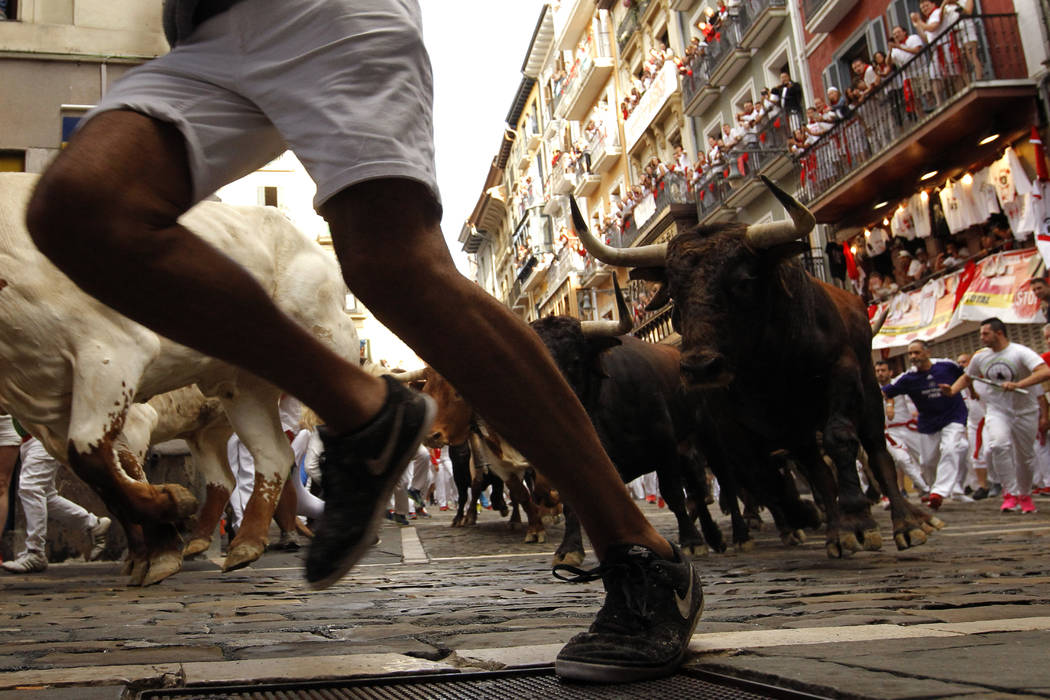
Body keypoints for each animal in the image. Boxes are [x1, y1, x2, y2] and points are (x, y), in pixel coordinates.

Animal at [0, 174, 361, 587]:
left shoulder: (111, 354)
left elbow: (99, 461)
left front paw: (166, 526)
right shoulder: (56, 411)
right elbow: (111, 479)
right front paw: (159, 542)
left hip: (327, 345)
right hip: (240, 394)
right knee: (265, 459)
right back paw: (242, 543)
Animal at [571, 179, 949, 558]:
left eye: (743, 281)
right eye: (675, 292)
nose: (700, 368)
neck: (768, 362)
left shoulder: (841, 371)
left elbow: (840, 438)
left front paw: (856, 518)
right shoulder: (737, 421)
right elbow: (767, 475)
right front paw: (818, 519)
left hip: (867, 389)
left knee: (876, 450)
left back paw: (907, 522)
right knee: (811, 468)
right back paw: (830, 525)